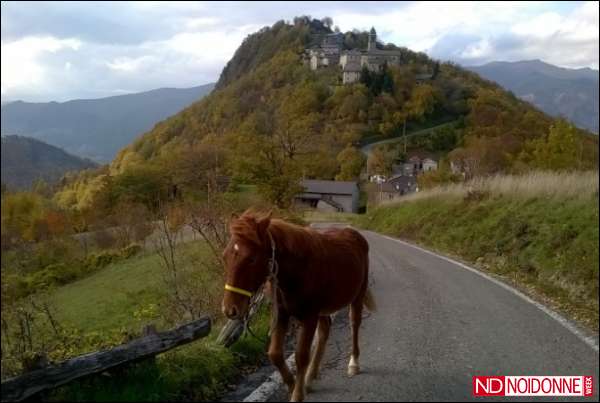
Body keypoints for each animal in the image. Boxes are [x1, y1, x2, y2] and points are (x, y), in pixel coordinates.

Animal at [223, 210, 372, 402]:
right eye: (225, 256)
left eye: (251, 259)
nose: (230, 309)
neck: (298, 270)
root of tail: (356, 235)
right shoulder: (281, 314)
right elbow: (275, 354)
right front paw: (293, 385)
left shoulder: (309, 317)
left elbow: (301, 356)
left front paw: (297, 394)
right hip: (323, 310)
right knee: (324, 332)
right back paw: (310, 377)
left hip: (357, 297)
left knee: (354, 325)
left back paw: (353, 364)